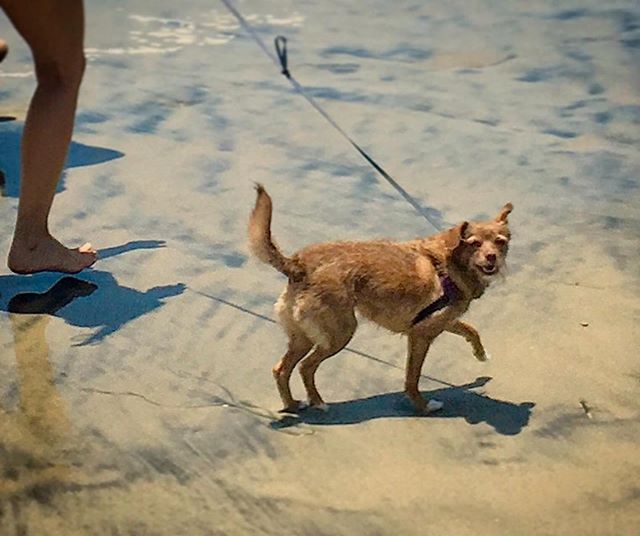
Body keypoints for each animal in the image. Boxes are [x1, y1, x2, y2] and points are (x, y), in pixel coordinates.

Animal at [248, 185, 512, 414]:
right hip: (339, 335)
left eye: (501, 242)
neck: (449, 263)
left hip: (303, 337)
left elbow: (471, 330)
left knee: (281, 369)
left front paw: (481, 354)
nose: (492, 257)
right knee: (306, 367)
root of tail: (297, 265)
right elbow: (412, 378)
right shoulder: (420, 336)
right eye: (474, 244)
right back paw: (317, 402)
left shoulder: (441, 321)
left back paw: (292, 404)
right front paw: (423, 406)